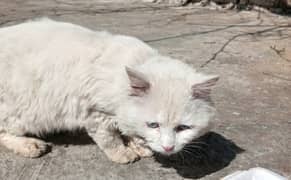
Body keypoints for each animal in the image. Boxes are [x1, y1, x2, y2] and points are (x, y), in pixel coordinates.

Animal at [0, 18, 219, 163]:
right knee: (4, 132)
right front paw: (123, 153)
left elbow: (130, 131)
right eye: (154, 124)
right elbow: (109, 138)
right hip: (20, 112)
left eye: (183, 128)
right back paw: (30, 145)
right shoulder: (94, 113)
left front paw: (139, 145)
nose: (168, 147)